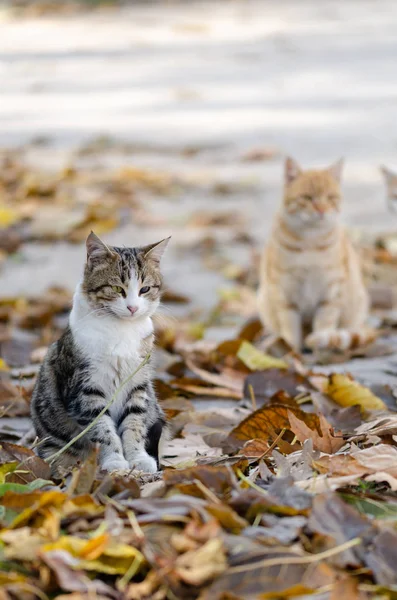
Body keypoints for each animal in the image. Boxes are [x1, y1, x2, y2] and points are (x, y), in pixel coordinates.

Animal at [30, 232, 168, 476]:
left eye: (145, 289)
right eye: (117, 289)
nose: (133, 308)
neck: (121, 330)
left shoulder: (137, 384)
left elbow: (134, 424)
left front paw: (138, 458)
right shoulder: (85, 390)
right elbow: (102, 430)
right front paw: (114, 461)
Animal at [256, 157, 372, 352]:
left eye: (330, 198)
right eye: (307, 198)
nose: (321, 210)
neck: (310, 242)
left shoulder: (332, 291)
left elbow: (325, 323)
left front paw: (320, 342)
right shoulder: (284, 290)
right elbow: (290, 325)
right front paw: (291, 349)